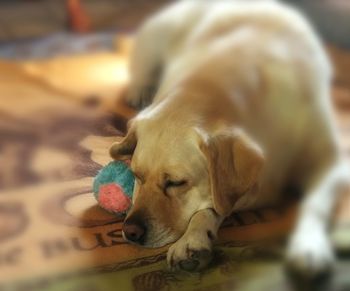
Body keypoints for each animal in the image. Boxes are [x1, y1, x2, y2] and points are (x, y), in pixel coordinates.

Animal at [108, 0, 348, 278]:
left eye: (176, 183)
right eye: (136, 175)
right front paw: (193, 240)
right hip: (154, 40)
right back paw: (139, 91)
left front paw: (309, 245)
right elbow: (211, 205)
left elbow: (314, 204)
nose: (130, 232)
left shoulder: (328, 161)